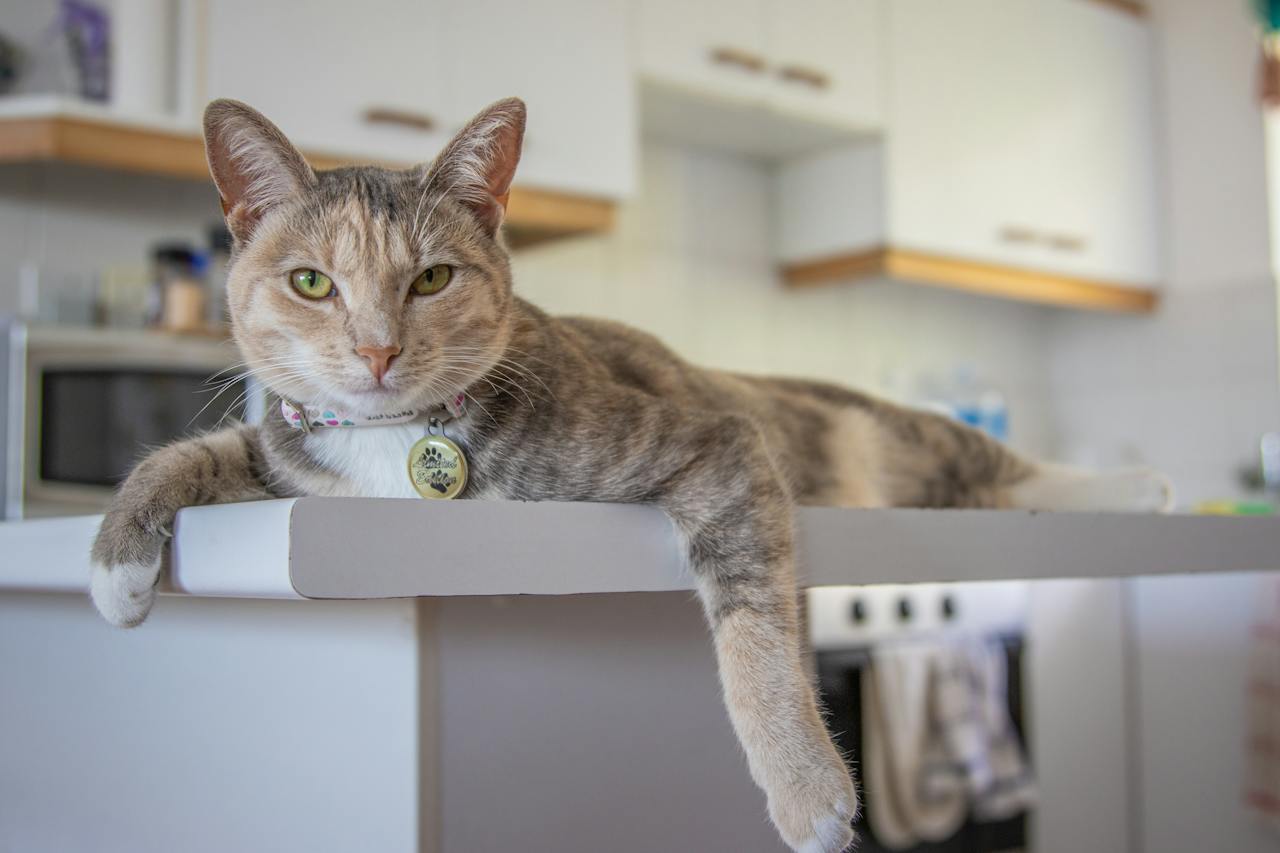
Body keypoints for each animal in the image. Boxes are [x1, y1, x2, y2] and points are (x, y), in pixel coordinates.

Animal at [87, 94, 1172, 850]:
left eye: (431, 277)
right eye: (311, 282)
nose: (377, 351)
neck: (400, 439)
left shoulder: (713, 440)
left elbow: (751, 632)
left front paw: (807, 790)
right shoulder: (290, 452)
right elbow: (192, 451)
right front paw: (116, 569)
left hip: (901, 436)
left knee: (1007, 465)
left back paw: (1137, 489)